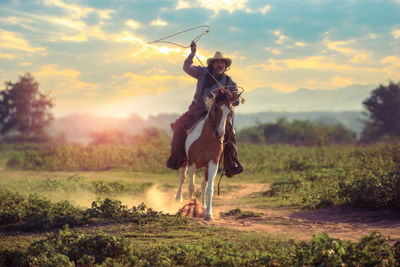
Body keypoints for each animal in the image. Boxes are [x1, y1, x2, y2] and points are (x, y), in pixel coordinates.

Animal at [174, 88, 238, 222]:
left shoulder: (213, 163)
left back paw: (202, 206)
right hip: (184, 161)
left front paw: (208, 214)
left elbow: (209, 188)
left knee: (203, 184)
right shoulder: (192, 163)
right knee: (182, 178)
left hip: (206, 167)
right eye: (216, 108)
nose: (220, 133)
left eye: (230, 112)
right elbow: (191, 187)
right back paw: (178, 199)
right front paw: (190, 208)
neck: (206, 139)